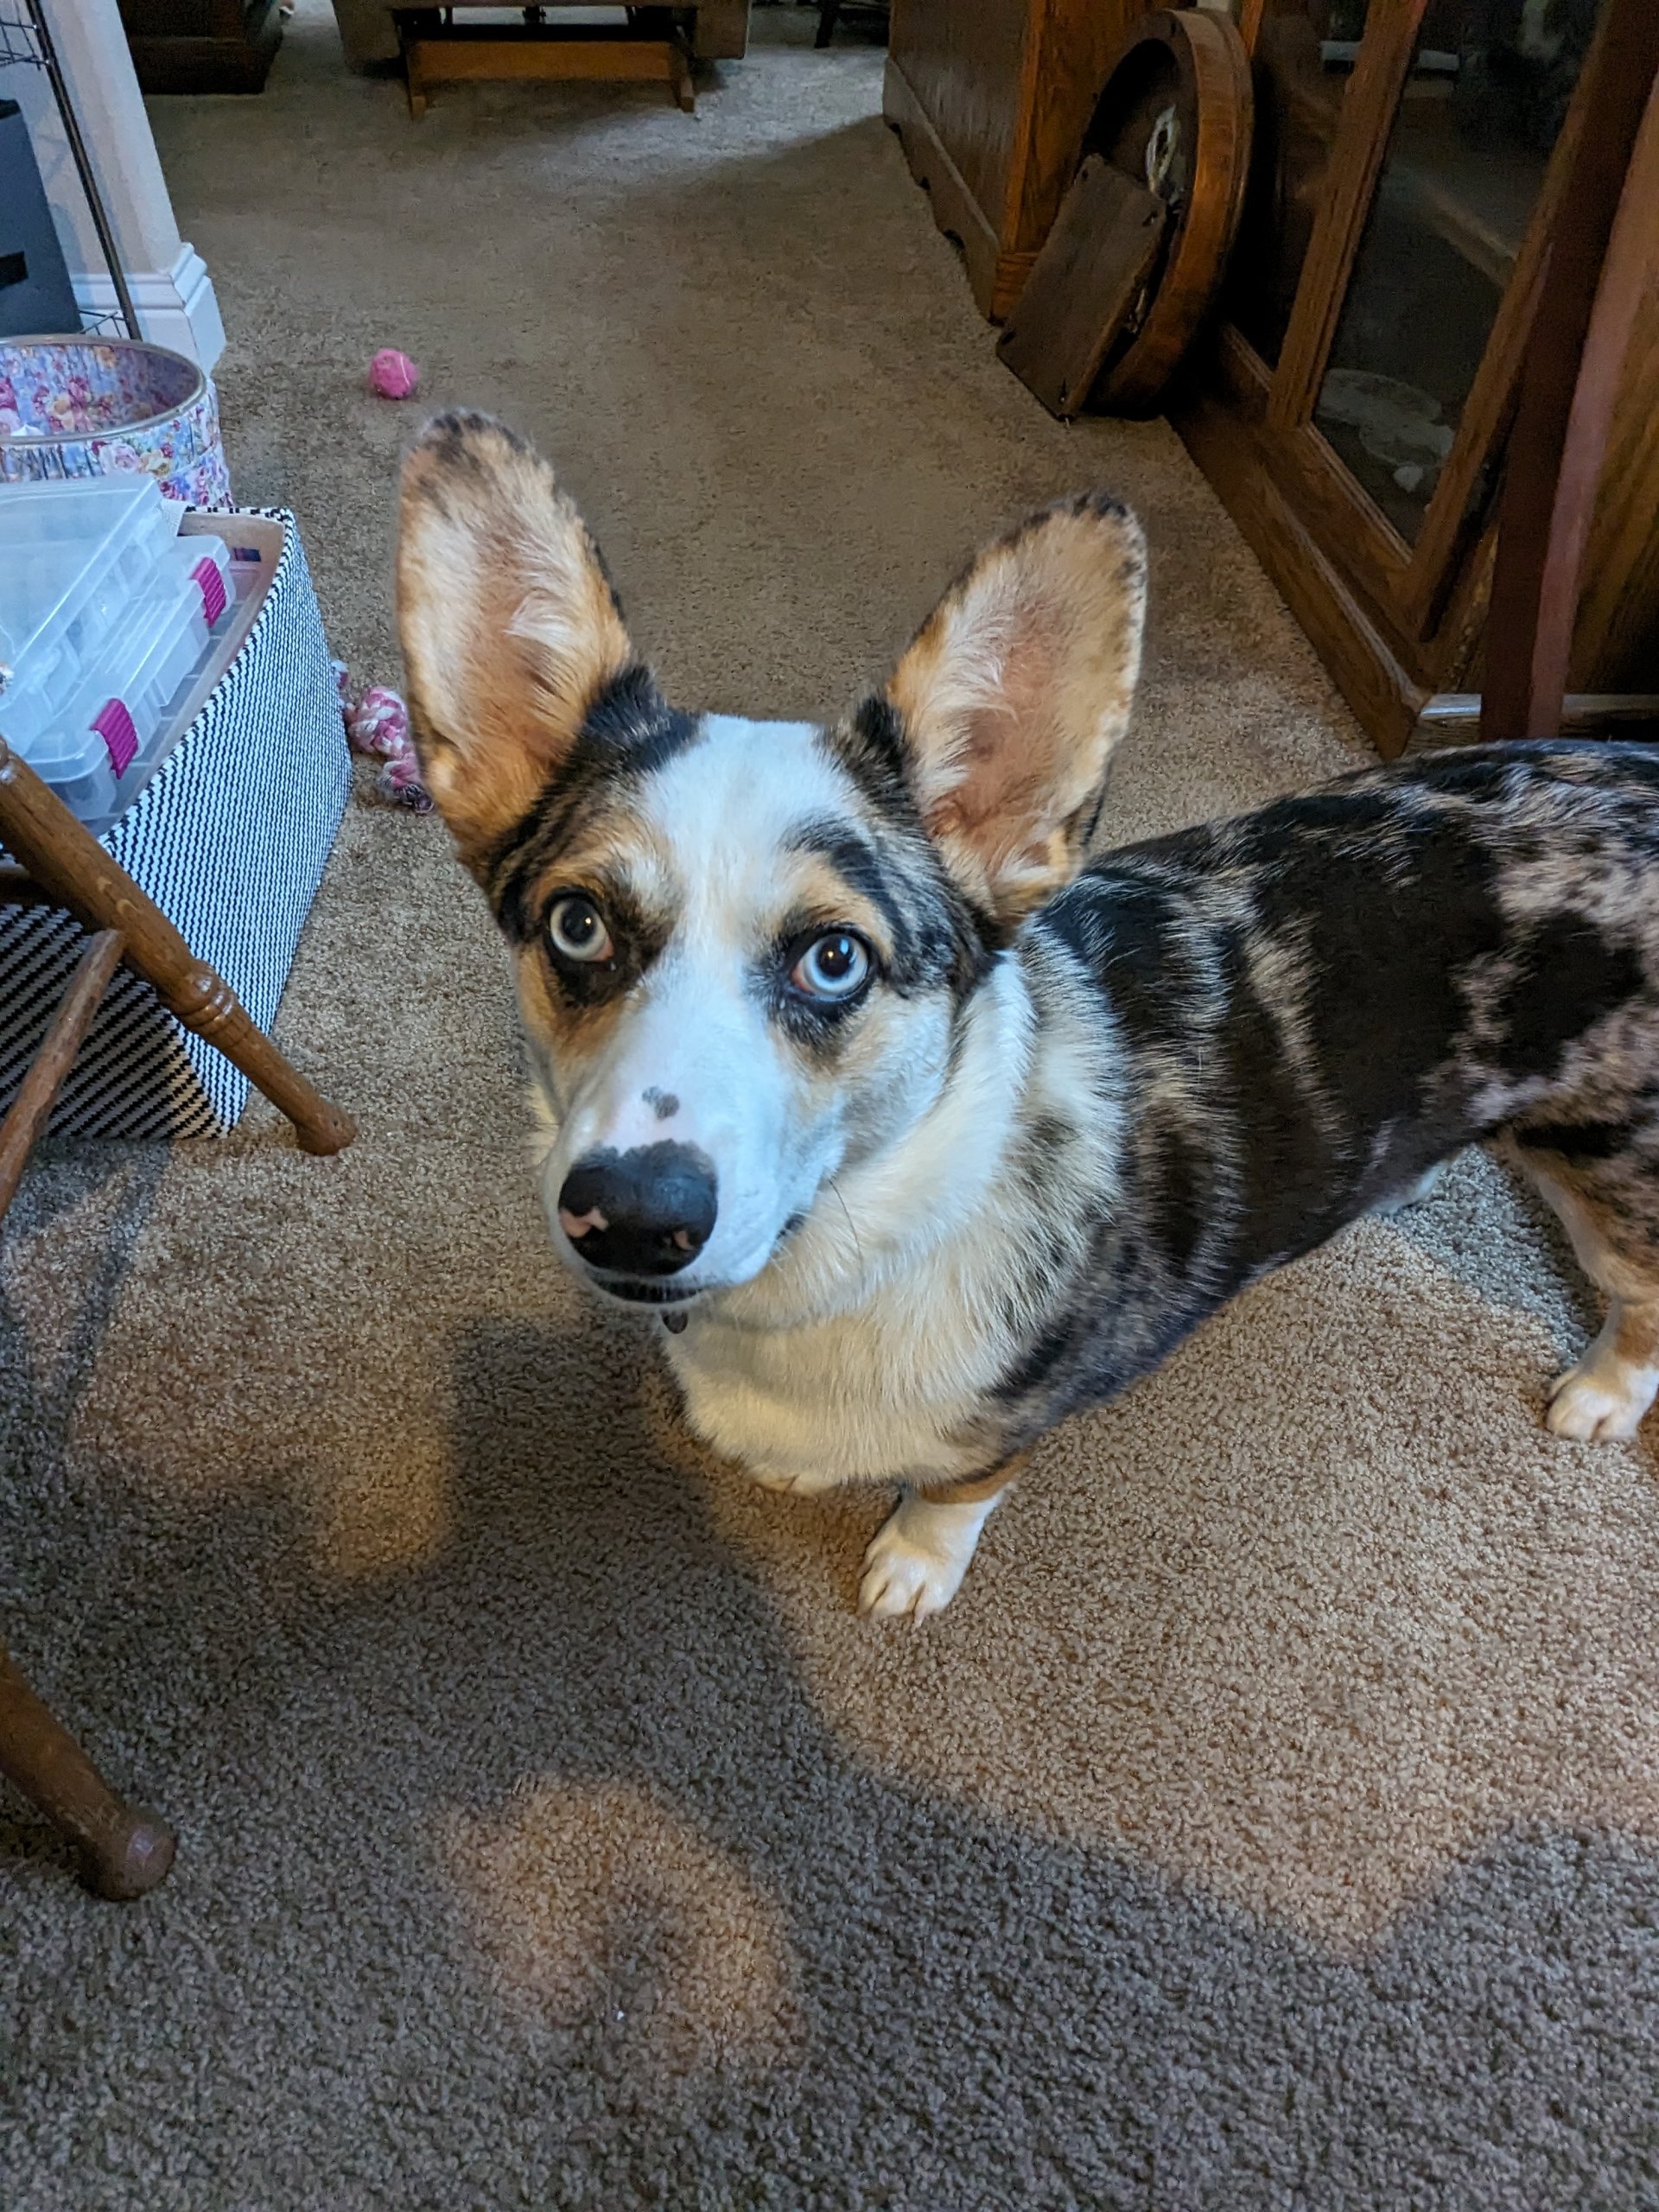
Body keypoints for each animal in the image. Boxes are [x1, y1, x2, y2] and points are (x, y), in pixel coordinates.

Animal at [396, 417, 1659, 1628]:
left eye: (834, 958)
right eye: (577, 927)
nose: (630, 1217)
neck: (852, 1239)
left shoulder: (1006, 1424)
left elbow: (954, 1493)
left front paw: (912, 1571)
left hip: (1613, 1169)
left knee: (1639, 1294)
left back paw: (1600, 1395)